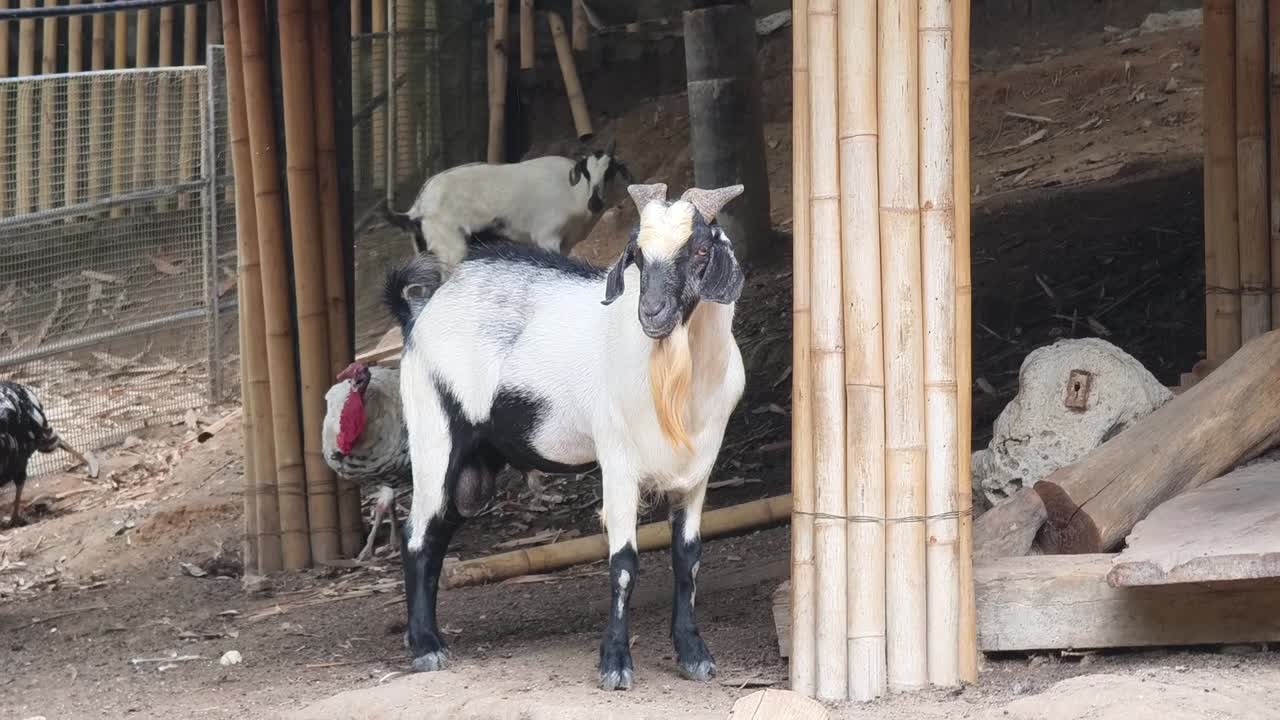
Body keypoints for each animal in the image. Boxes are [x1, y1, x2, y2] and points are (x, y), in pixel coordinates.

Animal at [384, 141, 633, 271]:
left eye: (610, 172)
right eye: (586, 172)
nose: (595, 202)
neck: (574, 192)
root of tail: (417, 209)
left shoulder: (566, 242)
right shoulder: (547, 237)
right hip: (450, 249)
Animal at [384, 182, 747, 691]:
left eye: (699, 249)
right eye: (637, 254)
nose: (651, 313)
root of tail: (417, 315)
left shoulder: (697, 472)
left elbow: (688, 558)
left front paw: (694, 654)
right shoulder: (618, 463)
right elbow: (623, 562)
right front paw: (615, 664)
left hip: (475, 468)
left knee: (436, 535)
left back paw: (428, 638)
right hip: (434, 433)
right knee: (417, 534)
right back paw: (425, 648)